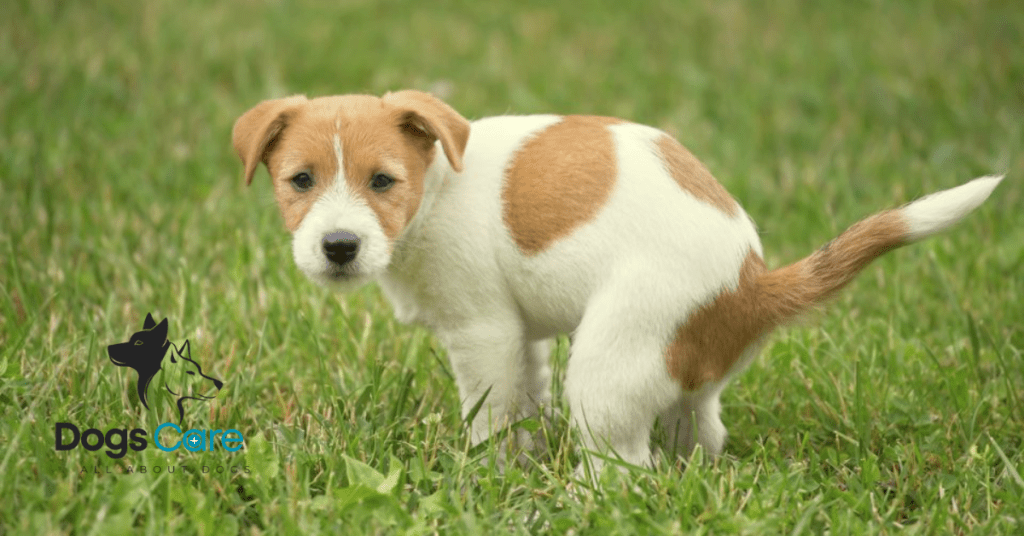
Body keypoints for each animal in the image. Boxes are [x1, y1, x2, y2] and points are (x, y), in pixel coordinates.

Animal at [230, 91, 999, 469]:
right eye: (300, 181)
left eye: (383, 181)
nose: (338, 246)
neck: (439, 185)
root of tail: (753, 284)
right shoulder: (521, 337)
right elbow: (525, 400)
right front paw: (523, 464)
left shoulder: (483, 332)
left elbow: (491, 415)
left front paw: (489, 477)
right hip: (678, 371)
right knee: (699, 435)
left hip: (608, 368)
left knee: (628, 468)